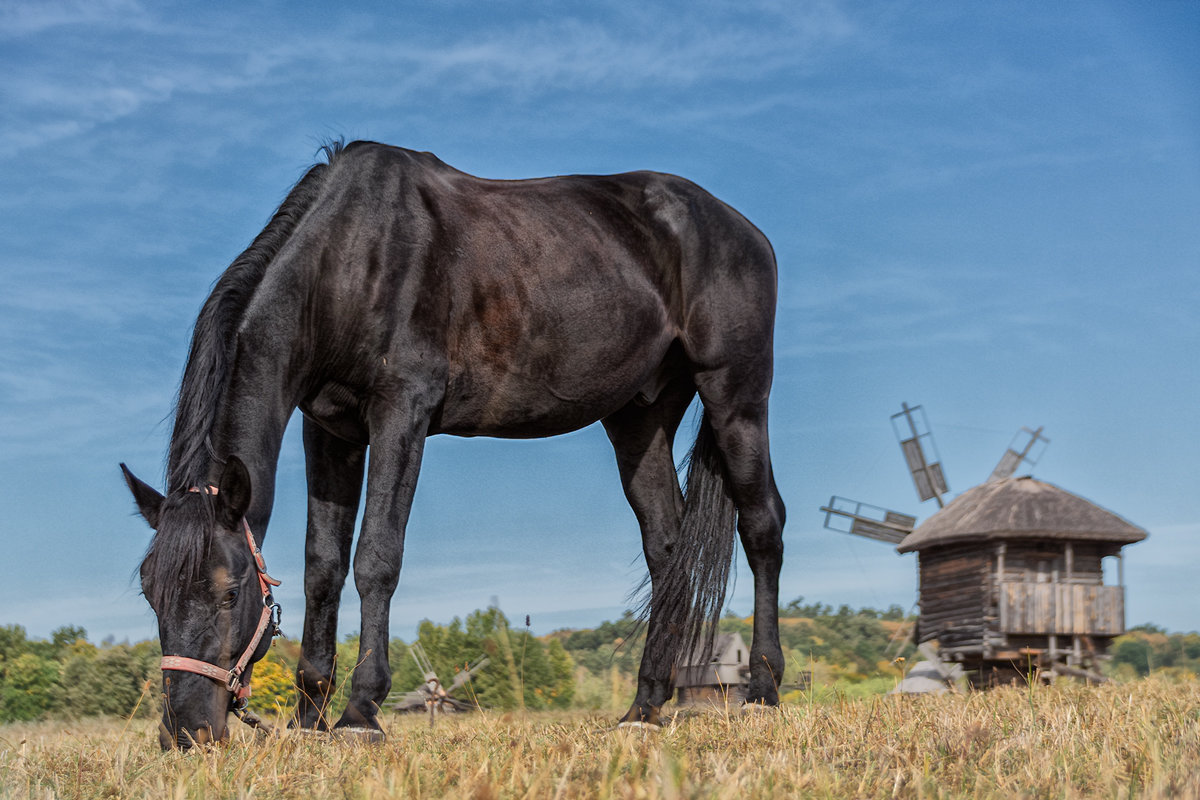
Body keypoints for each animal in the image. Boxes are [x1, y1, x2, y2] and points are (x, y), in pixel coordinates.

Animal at [117, 140, 782, 748]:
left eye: (230, 593)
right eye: (151, 593)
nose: (186, 732)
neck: (348, 259)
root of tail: (744, 229)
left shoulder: (401, 412)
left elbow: (376, 558)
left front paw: (360, 714)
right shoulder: (329, 430)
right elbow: (322, 569)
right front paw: (310, 720)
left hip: (736, 395)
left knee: (762, 526)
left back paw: (763, 692)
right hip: (639, 418)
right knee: (667, 551)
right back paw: (645, 706)